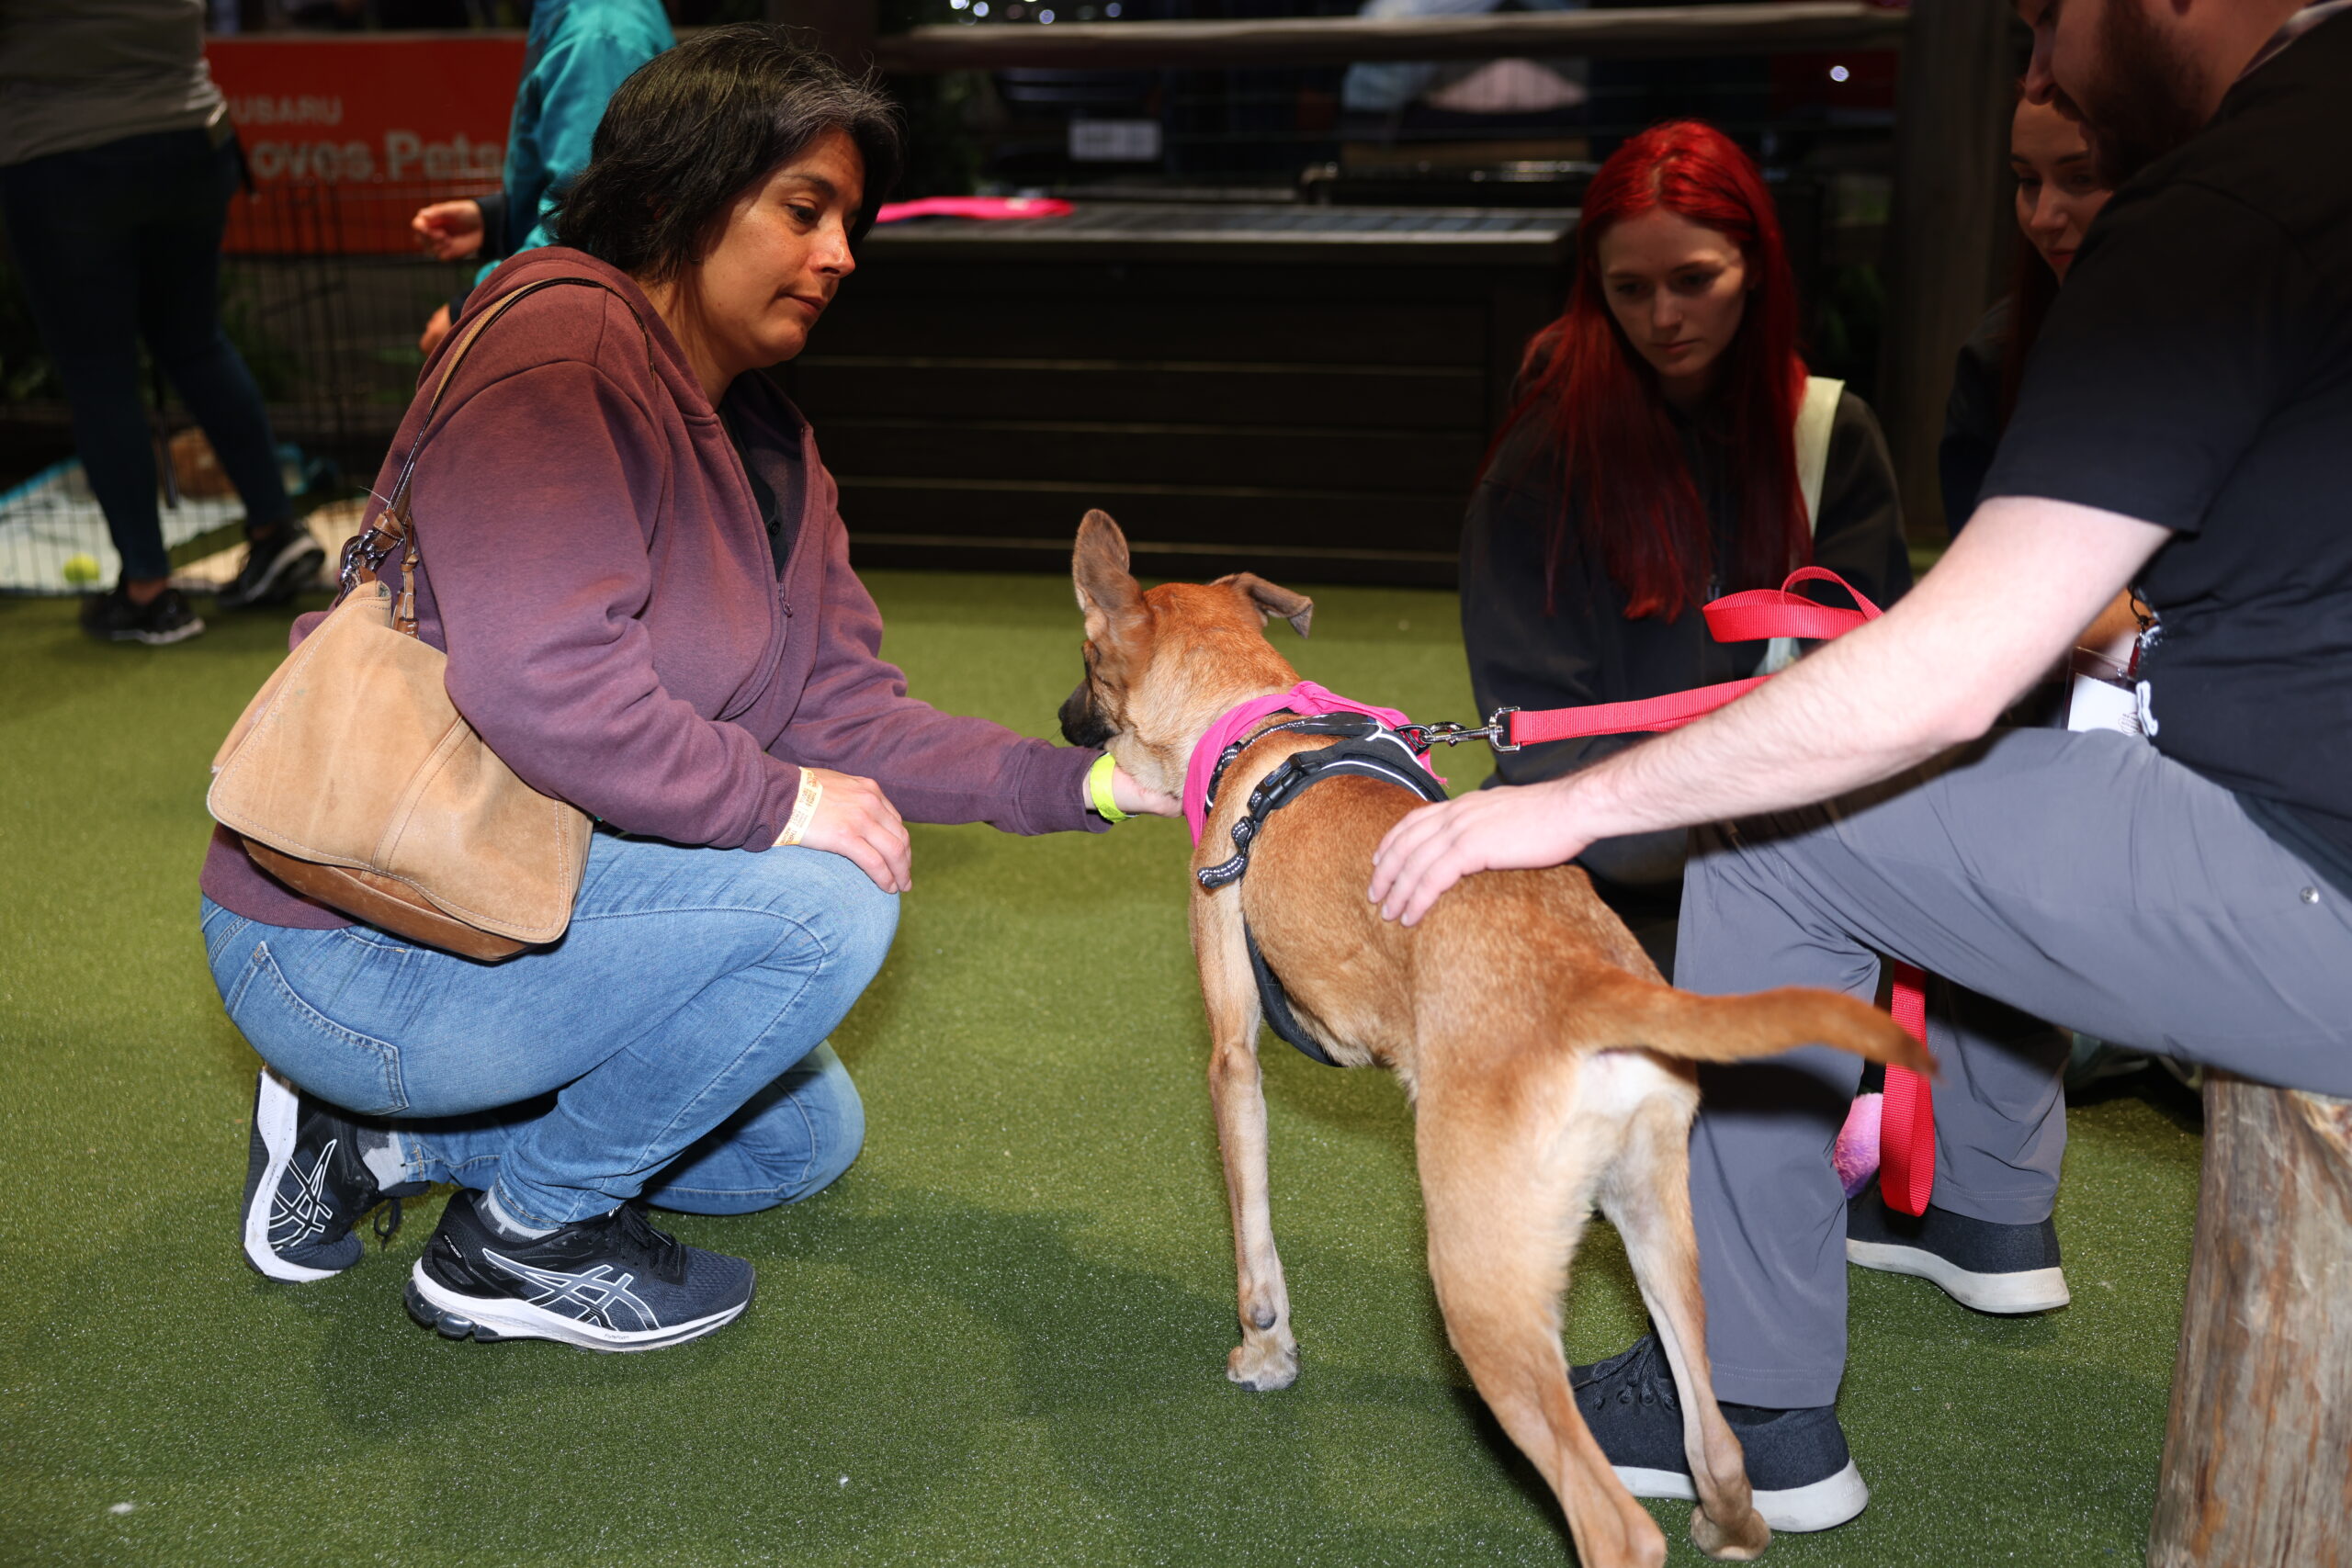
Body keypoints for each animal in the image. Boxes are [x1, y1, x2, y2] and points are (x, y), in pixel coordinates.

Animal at [1063, 510, 1928, 1561]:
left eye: (1086, 658)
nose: (1063, 720)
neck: (1257, 722)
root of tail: (1592, 984)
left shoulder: (1232, 1058)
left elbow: (1252, 1232)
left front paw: (1266, 1348)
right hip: (1655, 1227)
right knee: (1718, 1451)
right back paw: (1725, 1521)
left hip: (1479, 1282)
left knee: (1614, 1522)